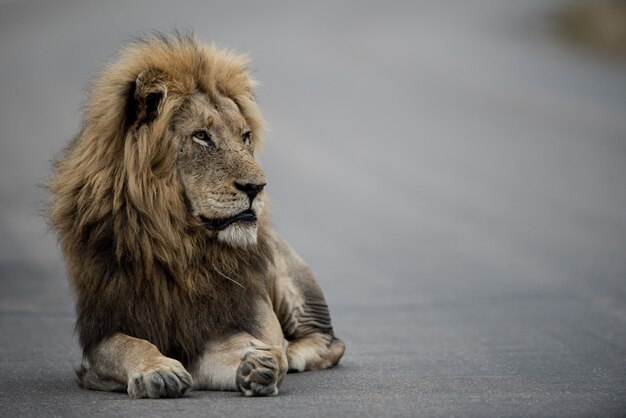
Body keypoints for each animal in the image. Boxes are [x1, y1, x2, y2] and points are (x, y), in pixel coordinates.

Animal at [46, 33, 344, 398]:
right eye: (201, 136)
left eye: (245, 136)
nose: (257, 187)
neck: (181, 245)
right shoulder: (104, 329)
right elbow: (127, 345)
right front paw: (158, 371)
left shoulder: (235, 322)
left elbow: (239, 351)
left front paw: (257, 364)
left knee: (329, 341)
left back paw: (293, 351)